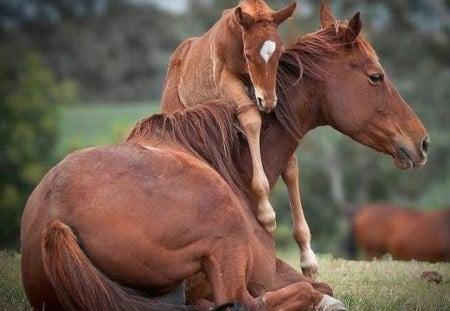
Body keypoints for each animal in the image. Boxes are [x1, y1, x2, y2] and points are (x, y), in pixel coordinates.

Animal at [160, 0, 298, 234]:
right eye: (249, 55)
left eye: (279, 53)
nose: (268, 102)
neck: (236, 35)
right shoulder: (227, 79)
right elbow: (251, 117)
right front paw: (266, 214)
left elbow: (290, 165)